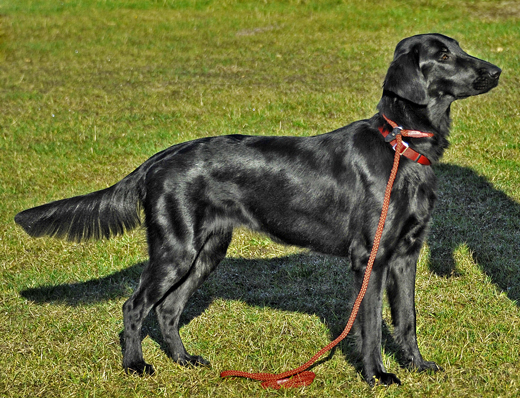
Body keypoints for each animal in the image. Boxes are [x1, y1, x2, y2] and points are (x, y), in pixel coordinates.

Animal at [15, 33, 500, 386]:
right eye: (443, 55)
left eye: (458, 48)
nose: (496, 70)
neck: (400, 145)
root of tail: (159, 159)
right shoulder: (371, 258)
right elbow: (373, 325)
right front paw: (377, 376)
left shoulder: (406, 254)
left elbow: (407, 319)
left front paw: (418, 366)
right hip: (176, 250)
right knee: (134, 307)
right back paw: (136, 367)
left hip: (207, 252)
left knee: (168, 311)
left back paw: (185, 361)